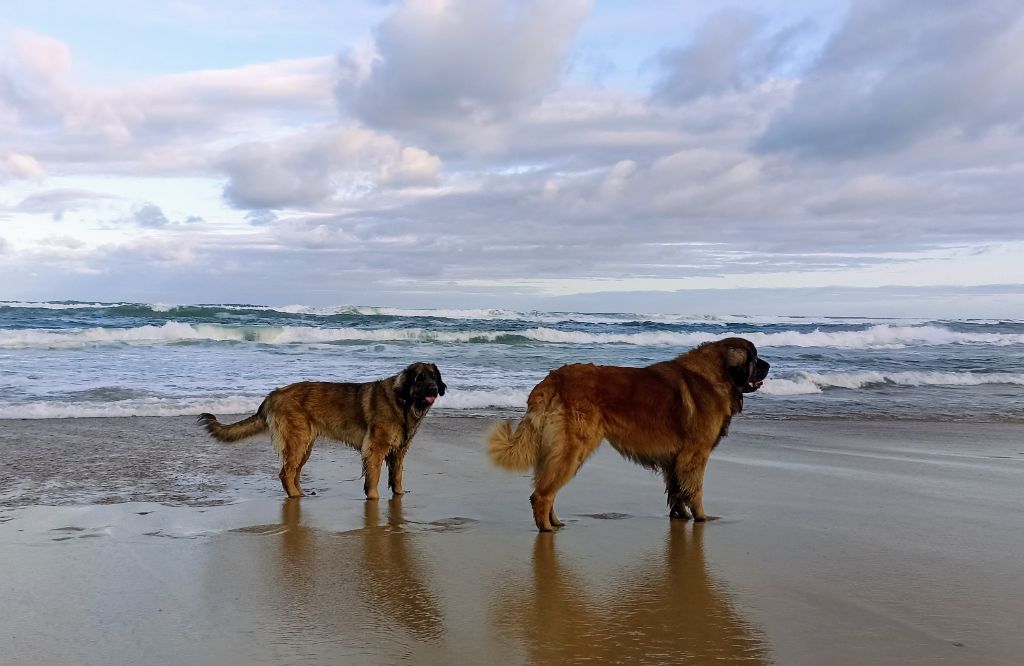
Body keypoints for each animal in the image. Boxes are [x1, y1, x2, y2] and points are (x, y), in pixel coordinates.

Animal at [195, 362, 444, 497]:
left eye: (433, 376)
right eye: (419, 378)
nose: (434, 388)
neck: (403, 402)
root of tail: (273, 394)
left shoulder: (399, 451)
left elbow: (397, 476)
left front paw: (399, 496)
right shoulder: (375, 449)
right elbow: (373, 479)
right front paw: (374, 498)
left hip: (304, 446)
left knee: (293, 472)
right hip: (298, 442)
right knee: (286, 473)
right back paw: (296, 496)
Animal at [487, 338, 770, 528]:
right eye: (754, 358)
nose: (769, 366)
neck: (716, 374)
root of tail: (553, 379)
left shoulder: (675, 460)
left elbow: (677, 491)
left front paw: (680, 516)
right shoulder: (695, 454)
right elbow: (695, 489)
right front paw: (701, 517)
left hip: (558, 449)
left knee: (546, 488)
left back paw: (555, 523)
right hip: (572, 448)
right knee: (542, 494)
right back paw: (545, 528)